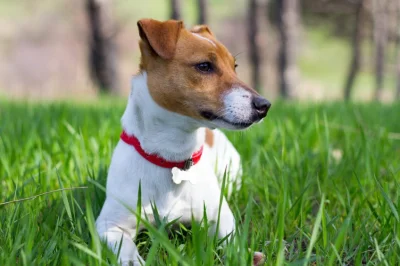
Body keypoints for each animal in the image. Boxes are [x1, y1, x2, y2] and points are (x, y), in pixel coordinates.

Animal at [96, 19, 272, 266]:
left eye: (234, 66)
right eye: (204, 66)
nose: (264, 105)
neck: (172, 155)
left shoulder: (219, 217)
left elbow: (230, 240)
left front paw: (243, 255)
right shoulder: (110, 226)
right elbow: (127, 250)